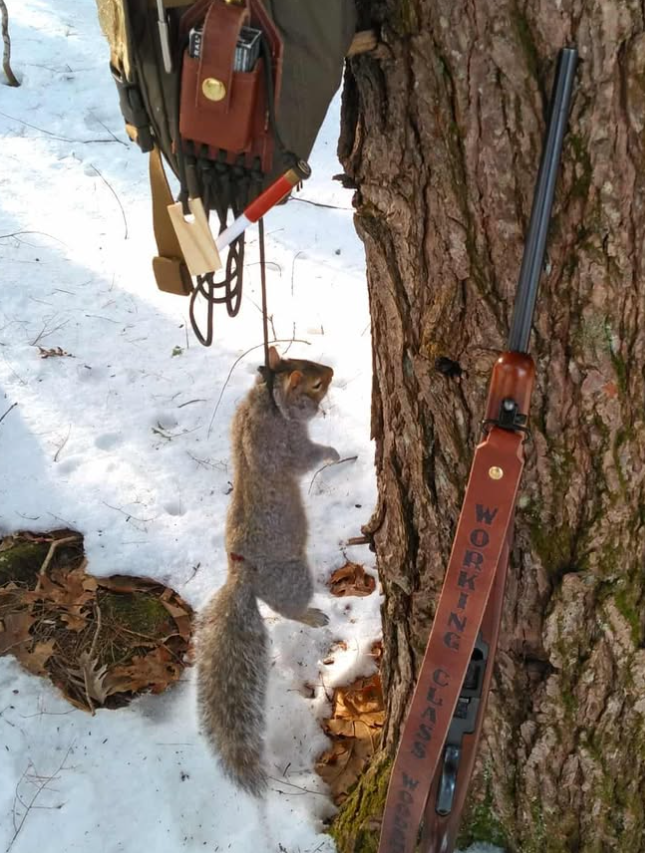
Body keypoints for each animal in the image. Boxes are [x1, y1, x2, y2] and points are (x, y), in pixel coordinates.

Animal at [195, 346, 340, 796]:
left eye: (307, 360)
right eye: (315, 383)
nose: (332, 370)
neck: (268, 404)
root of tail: (244, 576)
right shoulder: (287, 446)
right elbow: (307, 457)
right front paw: (332, 453)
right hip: (294, 575)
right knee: (286, 608)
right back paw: (312, 615)